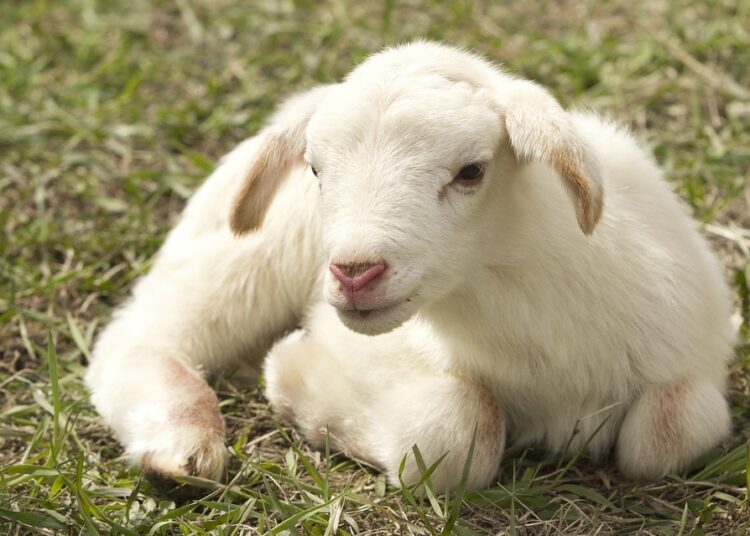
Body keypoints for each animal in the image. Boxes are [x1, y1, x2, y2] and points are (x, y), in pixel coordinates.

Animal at [86, 42, 736, 494]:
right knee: (140, 337)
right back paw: (182, 444)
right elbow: (458, 432)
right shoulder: (367, 350)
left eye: (472, 171)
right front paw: (294, 378)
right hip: (244, 257)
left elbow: (671, 430)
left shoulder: (691, 355)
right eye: (316, 169)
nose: (354, 272)